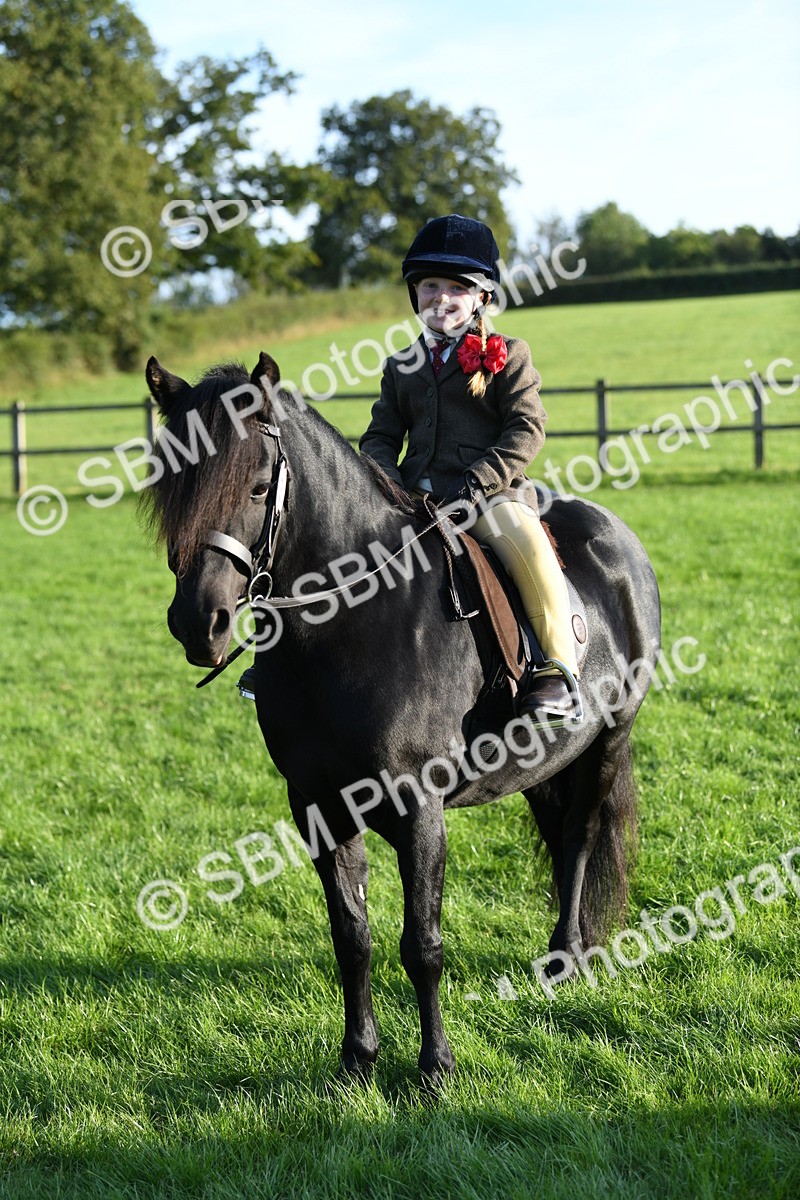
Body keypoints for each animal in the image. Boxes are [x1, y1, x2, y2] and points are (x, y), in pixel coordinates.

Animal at [141, 351, 661, 1087]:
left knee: (581, 834)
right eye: (172, 489)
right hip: (542, 762)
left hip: (608, 741)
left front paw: (434, 1068)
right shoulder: (318, 806)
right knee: (560, 836)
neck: (353, 623)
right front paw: (357, 1058)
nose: (199, 623)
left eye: (256, 486)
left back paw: (568, 957)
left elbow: (422, 944)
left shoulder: (419, 806)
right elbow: (351, 937)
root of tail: (616, 537)